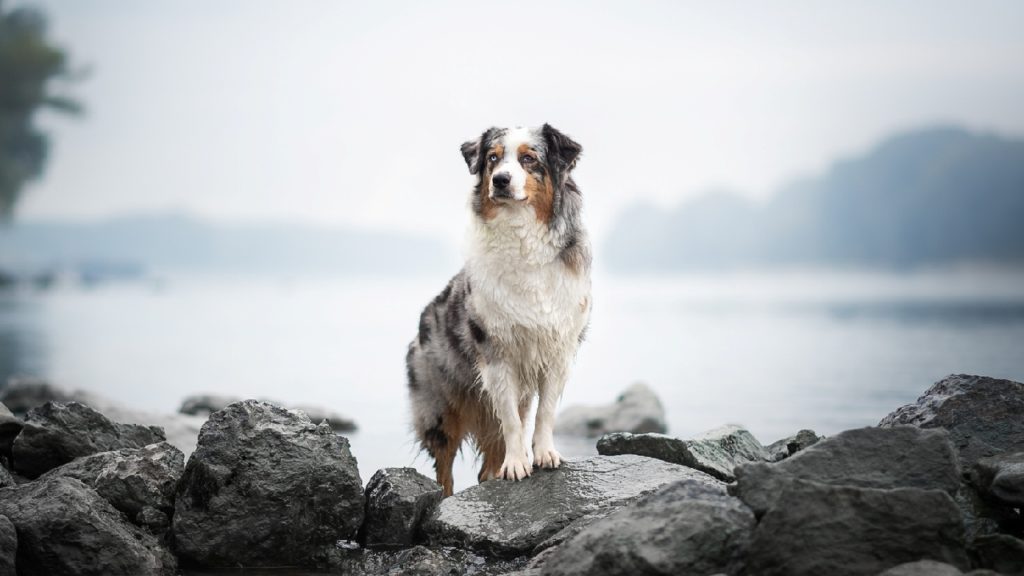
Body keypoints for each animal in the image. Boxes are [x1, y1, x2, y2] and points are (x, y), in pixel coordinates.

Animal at [403, 121, 589, 494]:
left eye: (529, 159)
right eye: (492, 158)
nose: (501, 180)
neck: (523, 238)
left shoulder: (558, 349)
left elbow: (546, 412)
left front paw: (544, 454)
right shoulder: (496, 353)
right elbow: (512, 423)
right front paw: (517, 464)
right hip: (439, 411)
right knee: (444, 472)